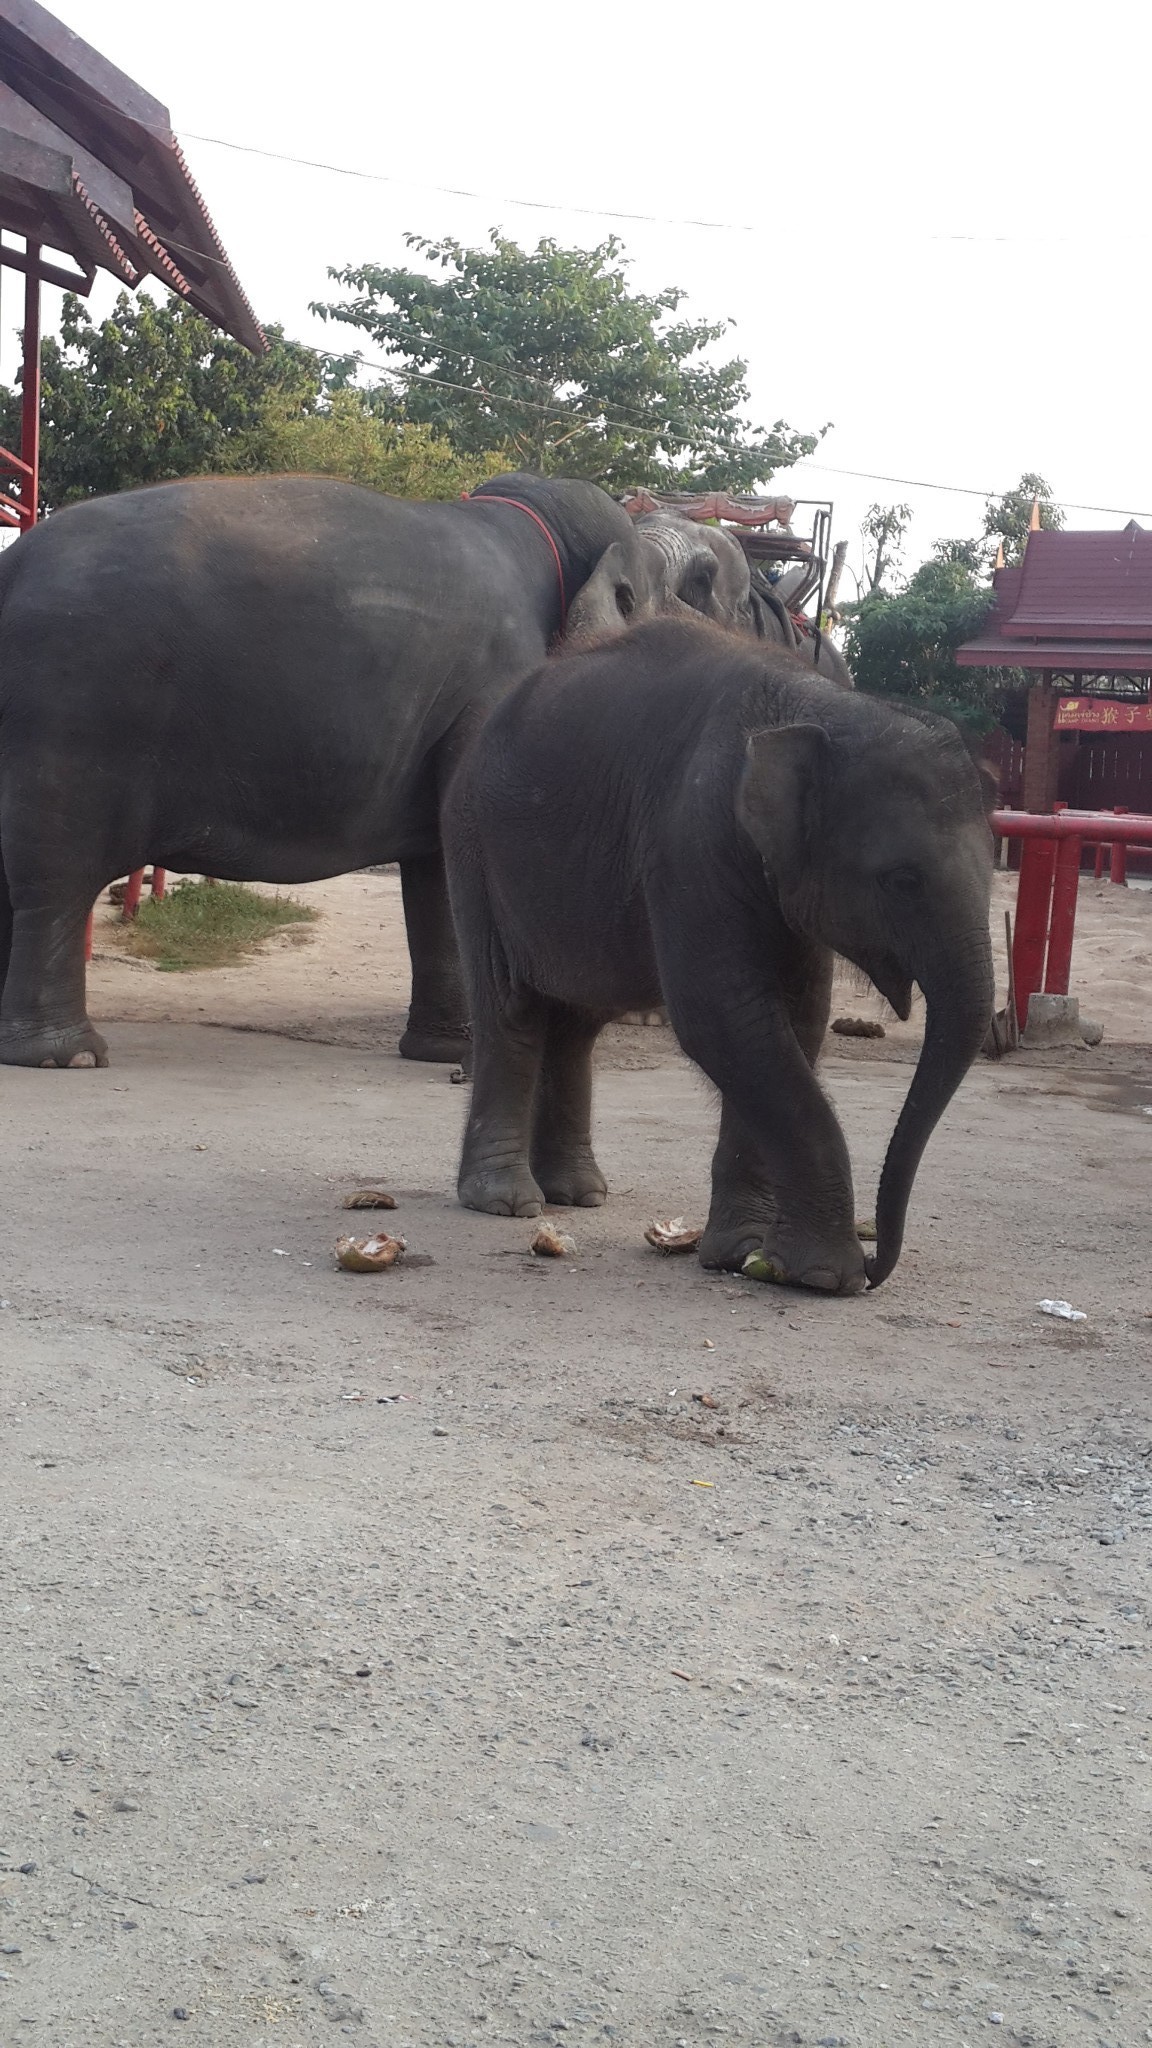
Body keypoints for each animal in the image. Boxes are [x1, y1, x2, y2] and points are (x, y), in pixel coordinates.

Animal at [0, 466, 639, 1073]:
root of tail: (12, 566)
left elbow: (438, 865)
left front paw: (443, 1054)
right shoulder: (498, 690)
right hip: (71, 709)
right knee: (55, 878)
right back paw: (67, 1057)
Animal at [444, 618, 992, 1294]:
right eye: (903, 880)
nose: (875, 1266)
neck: (819, 707)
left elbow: (792, 1022)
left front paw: (743, 1255)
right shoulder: (690, 841)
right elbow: (725, 1017)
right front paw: (819, 1277)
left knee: (576, 1024)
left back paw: (579, 1195)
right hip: (472, 847)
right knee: (510, 1009)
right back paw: (505, 1202)